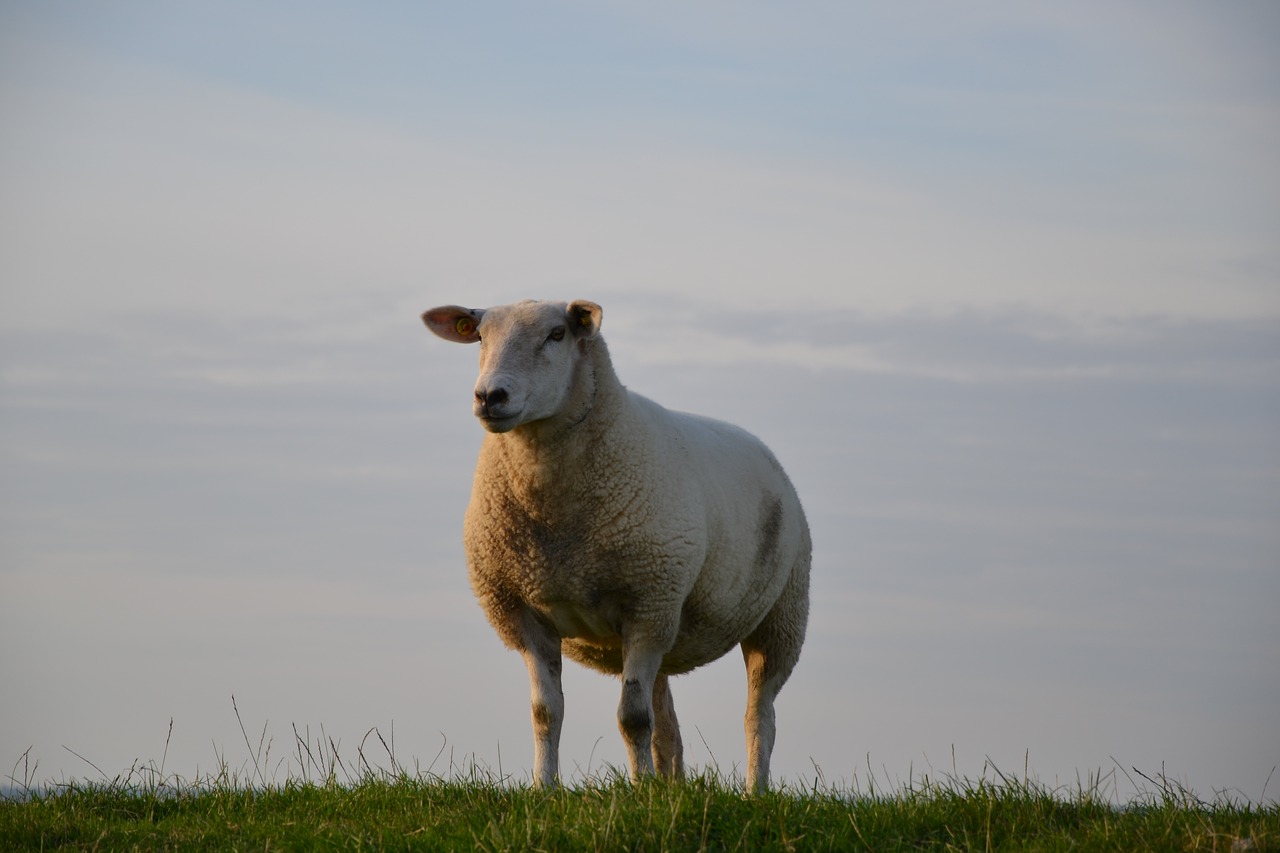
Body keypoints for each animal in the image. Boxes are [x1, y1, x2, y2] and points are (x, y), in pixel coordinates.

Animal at [424, 298, 814, 788]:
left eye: (557, 334)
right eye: (478, 336)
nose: (490, 397)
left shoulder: (647, 604)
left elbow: (632, 718)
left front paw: (639, 788)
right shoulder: (522, 610)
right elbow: (546, 712)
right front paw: (544, 787)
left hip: (781, 615)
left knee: (759, 715)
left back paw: (752, 791)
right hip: (670, 627)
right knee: (667, 724)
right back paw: (670, 786)